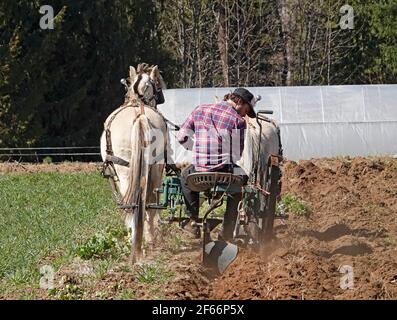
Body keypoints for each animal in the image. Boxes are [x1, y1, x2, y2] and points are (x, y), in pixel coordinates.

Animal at [100, 63, 168, 262]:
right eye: (158, 83)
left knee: (136, 202)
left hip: (127, 169)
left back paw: (140, 240)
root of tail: (140, 115)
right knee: (148, 201)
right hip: (153, 166)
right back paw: (145, 239)